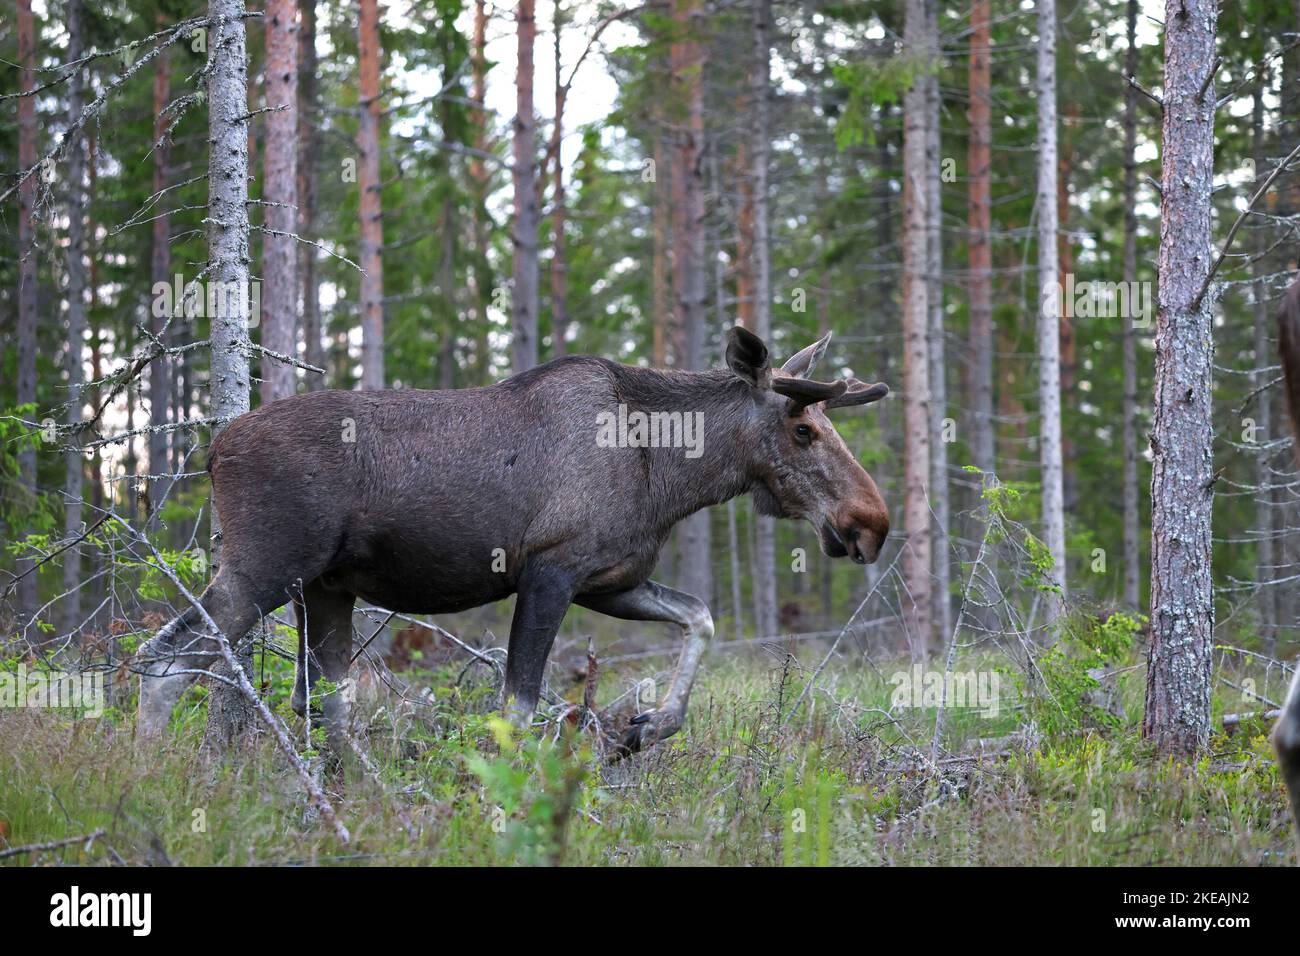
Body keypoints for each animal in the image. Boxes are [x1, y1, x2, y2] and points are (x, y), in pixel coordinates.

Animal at [139, 329, 894, 754]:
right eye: (804, 430)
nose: (872, 522)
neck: (668, 473)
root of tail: (213, 448)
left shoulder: (609, 581)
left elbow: (700, 617)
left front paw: (647, 727)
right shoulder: (551, 572)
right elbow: (519, 711)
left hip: (324, 589)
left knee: (321, 699)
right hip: (263, 566)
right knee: (166, 658)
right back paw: (154, 780)